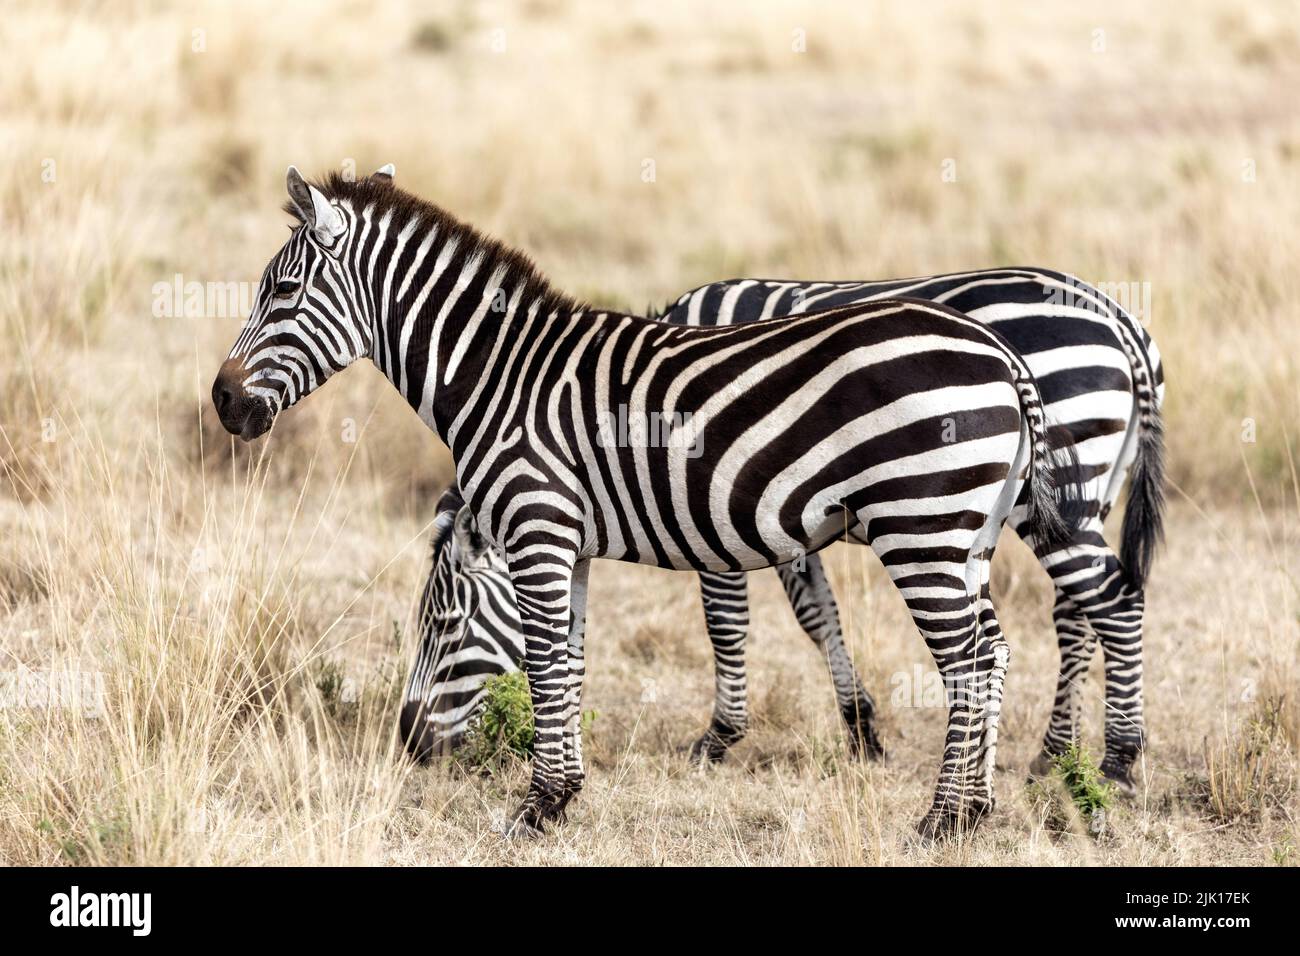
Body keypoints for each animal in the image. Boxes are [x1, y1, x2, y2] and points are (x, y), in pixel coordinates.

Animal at [213, 164, 1084, 838]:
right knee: (996, 650)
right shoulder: (570, 542)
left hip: (921, 526)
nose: (222, 402)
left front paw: (535, 806)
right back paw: (974, 811)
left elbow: (544, 665)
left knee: (970, 659)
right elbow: (568, 660)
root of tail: (1002, 355)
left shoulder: (536, 526)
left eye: (280, 289)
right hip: (966, 536)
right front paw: (563, 798)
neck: (499, 377)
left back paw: (942, 819)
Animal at [405, 270, 1165, 793]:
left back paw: (1113, 762)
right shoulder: (785, 514)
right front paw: (861, 727)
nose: (409, 742)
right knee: (1079, 612)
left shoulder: (712, 507)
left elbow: (728, 622)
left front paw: (719, 738)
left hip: (1051, 496)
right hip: (1073, 496)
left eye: (445, 622)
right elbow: (818, 614)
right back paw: (1058, 752)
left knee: (1106, 604)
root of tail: (1119, 318)